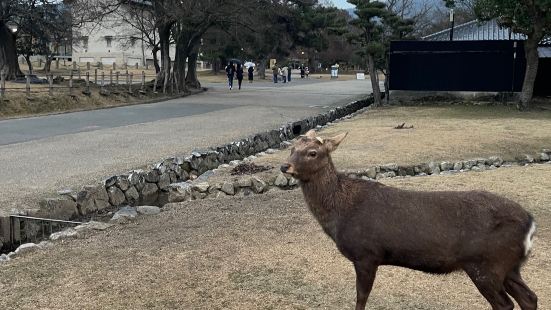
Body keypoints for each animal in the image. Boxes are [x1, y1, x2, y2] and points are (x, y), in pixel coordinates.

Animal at [280, 130, 540, 308]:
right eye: (291, 148)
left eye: (312, 153)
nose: (285, 166)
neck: (340, 214)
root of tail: (531, 224)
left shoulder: (367, 254)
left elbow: (361, 298)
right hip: (510, 267)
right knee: (529, 298)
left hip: (485, 264)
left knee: (505, 304)